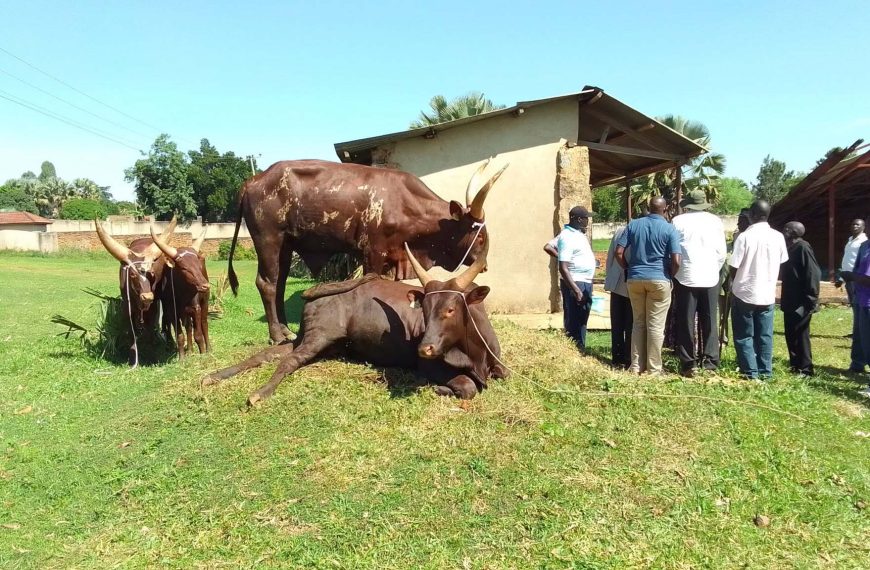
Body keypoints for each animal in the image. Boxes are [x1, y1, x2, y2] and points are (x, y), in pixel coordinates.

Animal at [95, 213, 177, 364]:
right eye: (132, 274)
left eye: (151, 273)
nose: (147, 297)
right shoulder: (126, 308)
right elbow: (131, 333)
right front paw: (133, 358)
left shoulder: (152, 307)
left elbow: (150, 332)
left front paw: (151, 356)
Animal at [150, 225, 211, 356]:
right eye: (184, 268)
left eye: (199, 266)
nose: (205, 285)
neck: (182, 293)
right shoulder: (172, 310)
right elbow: (180, 336)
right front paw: (182, 357)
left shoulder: (195, 308)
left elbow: (198, 335)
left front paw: (203, 354)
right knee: (188, 327)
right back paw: (190, 350)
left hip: (205, 302)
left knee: (204, 324)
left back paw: (209, 349)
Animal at [204, 237, 508, 406]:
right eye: (424, 309)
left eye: (450, 309)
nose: (425, 348)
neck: (475, 352)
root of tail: (319, 290)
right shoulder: (429, 367)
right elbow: (468, 387)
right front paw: (442, 388)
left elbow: (502, 375)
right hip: (319, 337)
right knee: (288, 362)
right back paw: (259, 393)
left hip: (316, 340)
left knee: (267, 354)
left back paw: (214, 375)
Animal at [228, 156, 508, 342]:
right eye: (480, 237)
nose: (484, 266)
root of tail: (253, 180)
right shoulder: (373, 251)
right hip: (268, 239)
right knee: (267, 283)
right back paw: (277, 335)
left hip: (286, 245)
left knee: (279, 284)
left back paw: (286, 329)